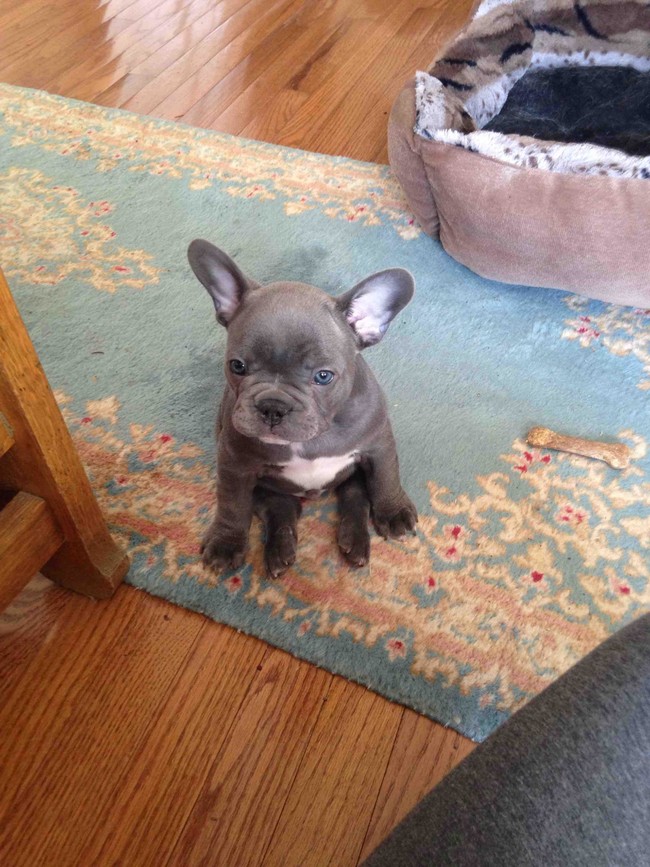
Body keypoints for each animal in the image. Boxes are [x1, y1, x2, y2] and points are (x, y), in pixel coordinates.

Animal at [189, 239, 416, 576]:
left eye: (323, 376)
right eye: (237, 366)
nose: (273, 405)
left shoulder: (378, 445)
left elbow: (386, 477)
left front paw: (393, 511)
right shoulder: (234, 464)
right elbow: (232, 504)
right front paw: (226, 543)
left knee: (355, 496)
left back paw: (355, 541)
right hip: (269, 490)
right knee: (281, 510)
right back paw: (280, 551)